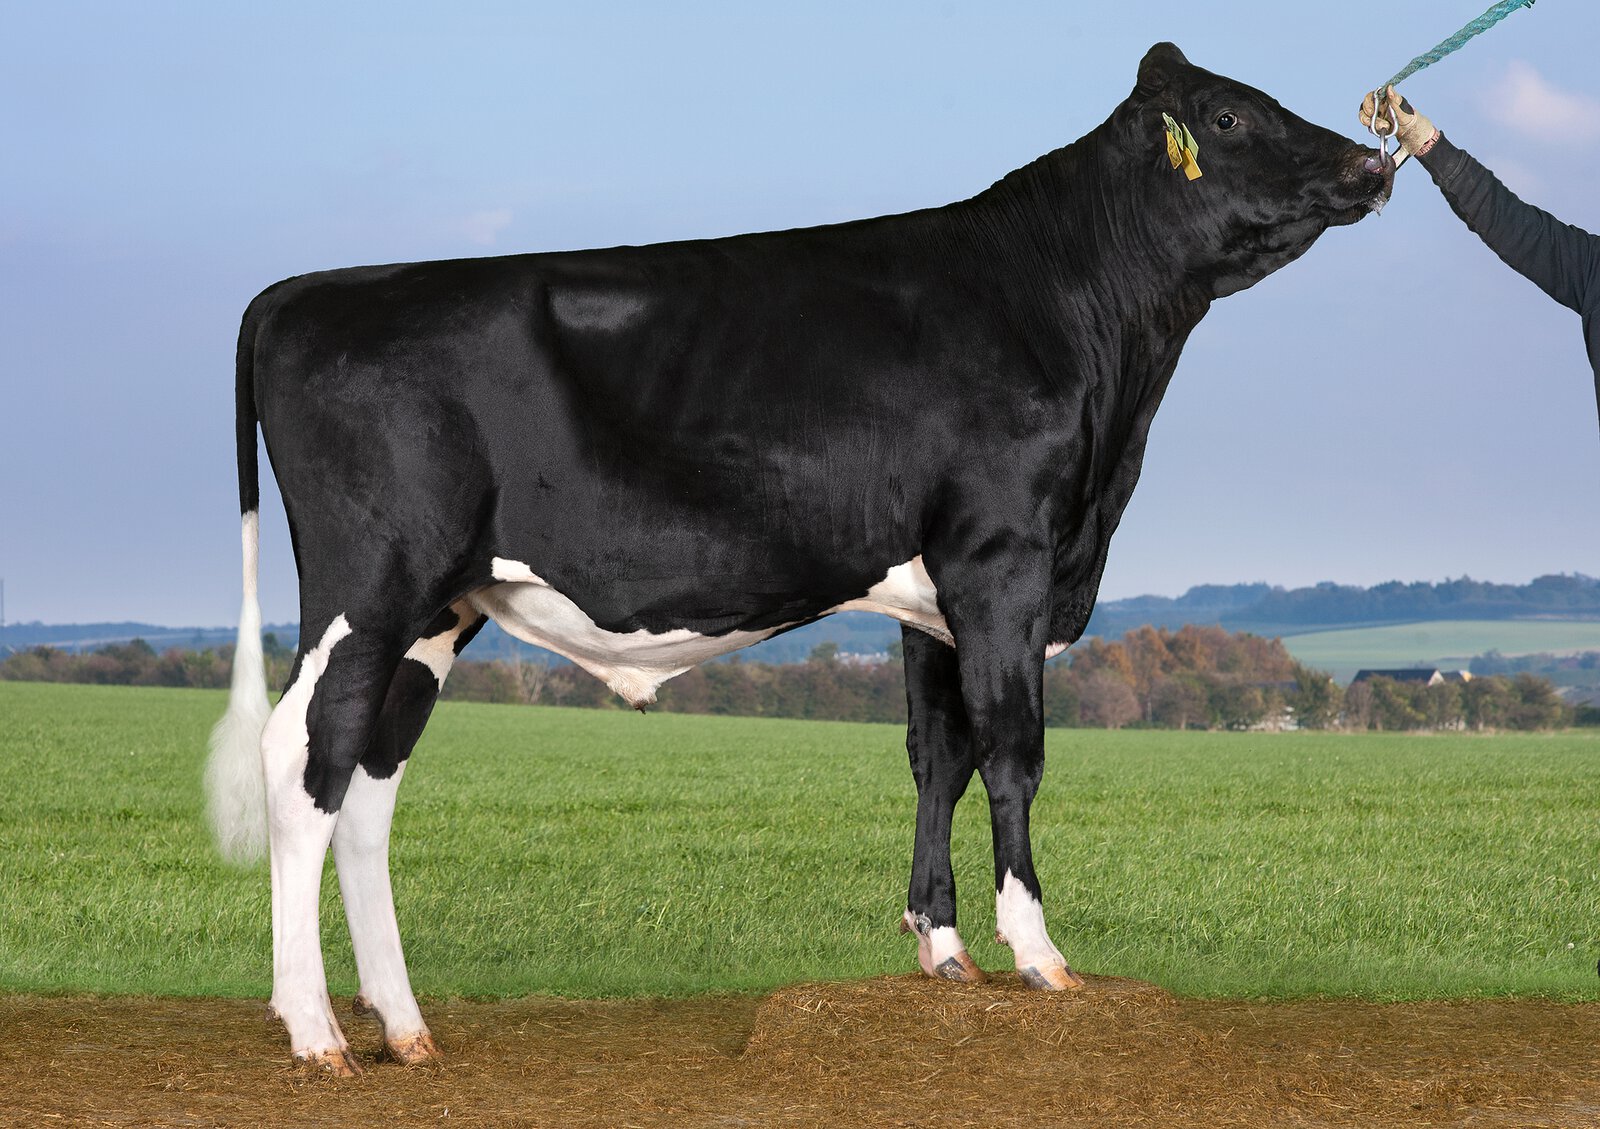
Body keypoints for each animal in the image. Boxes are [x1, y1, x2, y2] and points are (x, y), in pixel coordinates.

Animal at [206, 43, 1392, 1073]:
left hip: (441, 605)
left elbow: (938, 757)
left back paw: (404, 1027)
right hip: (371, 583)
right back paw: (313, 1030)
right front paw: (1040, 956)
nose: (1371, 160)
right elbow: (1014, 752)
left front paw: (943, 951)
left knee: (366, 781)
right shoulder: (1002, 554)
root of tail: (309, 289)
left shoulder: (934, 595)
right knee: (302, 755)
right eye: (1231, 116)